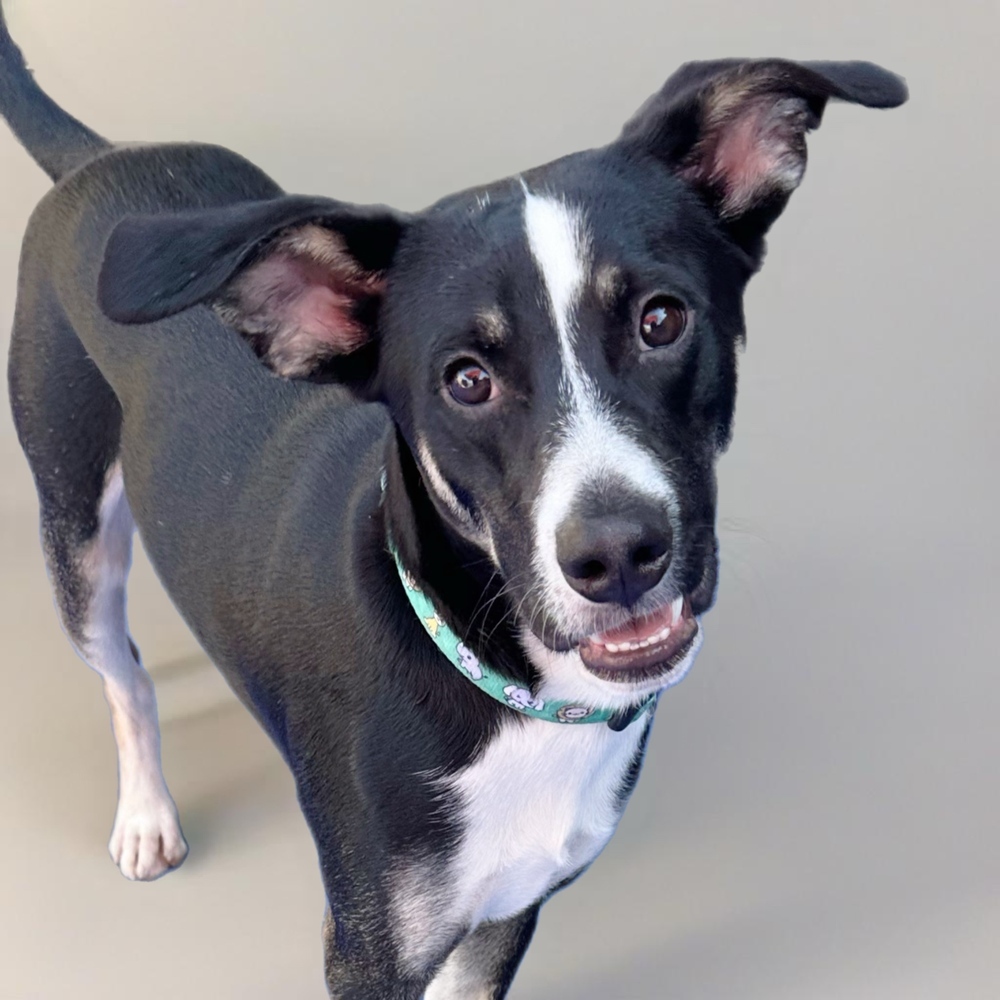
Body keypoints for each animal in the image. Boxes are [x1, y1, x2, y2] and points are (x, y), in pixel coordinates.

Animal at [0, 5, 908, 992]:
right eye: (466, 379)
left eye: (661, 320)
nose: (618, 555)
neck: (515, 693)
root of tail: (97, 158)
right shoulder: (372, 948)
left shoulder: (507, 913)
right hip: (75, 530)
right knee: (123, 670)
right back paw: (146, 816)